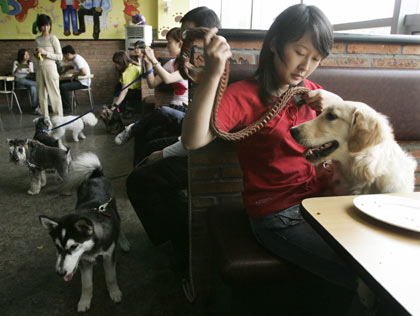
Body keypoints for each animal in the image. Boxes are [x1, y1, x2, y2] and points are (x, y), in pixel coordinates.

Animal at [40, 152, 131, 312]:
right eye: (57, 247)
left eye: (74, 246)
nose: (60, 273)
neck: (93, 246)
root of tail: (96, 175)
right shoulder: (84, 260)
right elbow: (87, 284)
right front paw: (84, 301)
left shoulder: (109, 255)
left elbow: (110, 277)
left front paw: (115, 293)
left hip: (114, 208)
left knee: (119, 225)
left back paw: (124, 242)